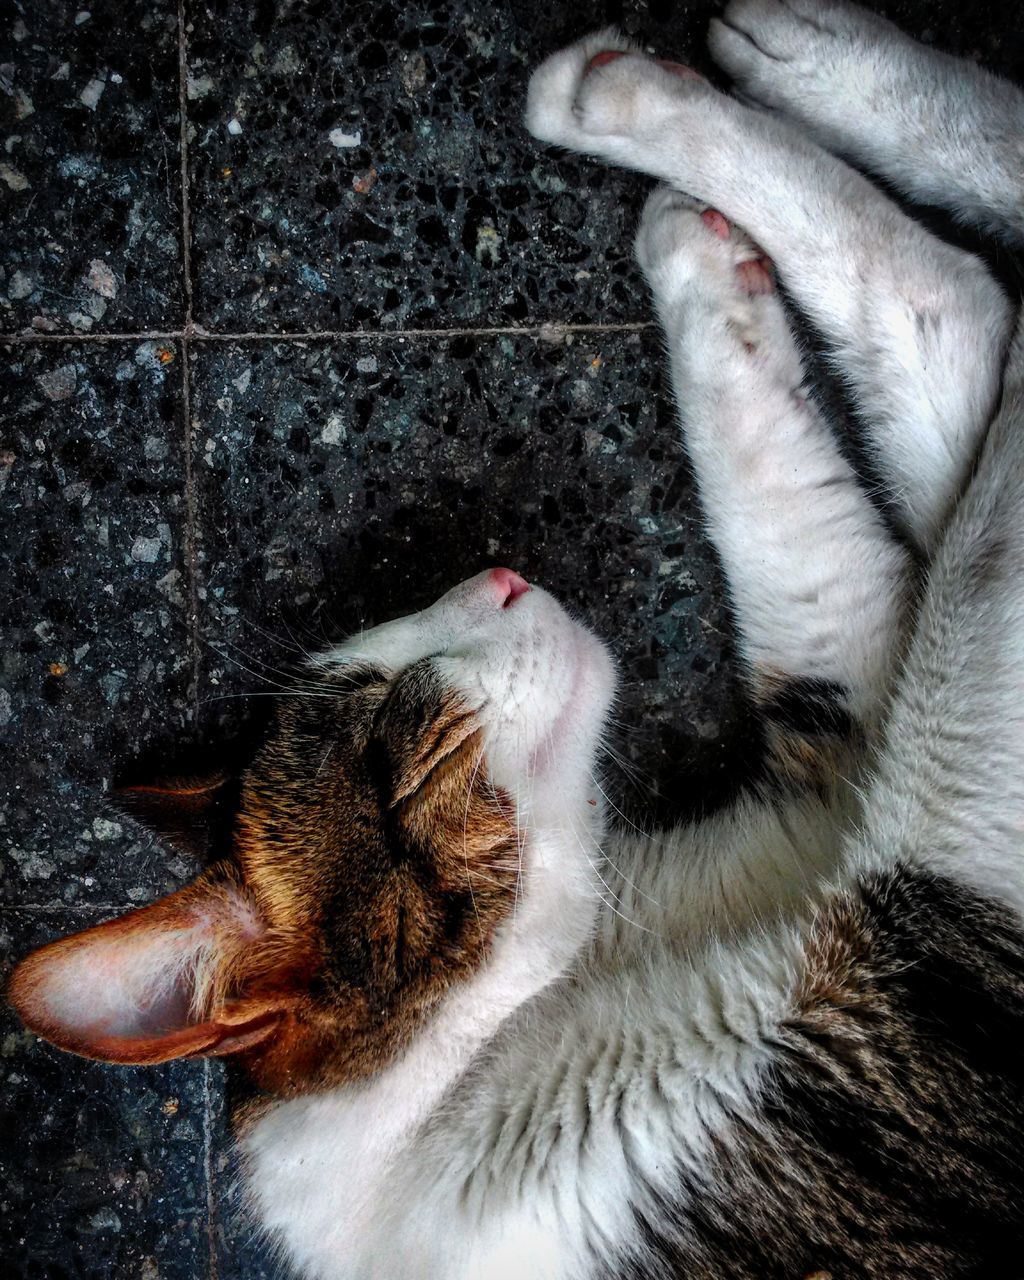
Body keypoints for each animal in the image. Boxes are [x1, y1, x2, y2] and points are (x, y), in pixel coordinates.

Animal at [6, 0, 1024, 1274]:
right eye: (397, 741)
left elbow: (832, 501)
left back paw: (723, 77)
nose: (493, 576)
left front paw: (701, 268)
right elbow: (962, 353)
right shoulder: (898, 956)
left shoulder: (846, 780)